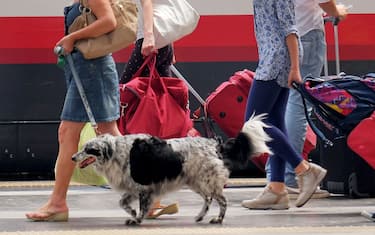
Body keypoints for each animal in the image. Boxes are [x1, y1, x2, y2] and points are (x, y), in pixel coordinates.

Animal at [72, 114, 274, 225]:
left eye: (88, 149)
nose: (73, 157)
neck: (115, 151)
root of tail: (216, 145)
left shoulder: (144, 187)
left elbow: (142, 207)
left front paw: (137, 219)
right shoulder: (134, 187)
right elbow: (123, 203)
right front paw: (133, 214)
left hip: (207, 182)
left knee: (222, 201)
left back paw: (218, 219)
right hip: (197, 182)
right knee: (208, 200)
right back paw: (200, 216)